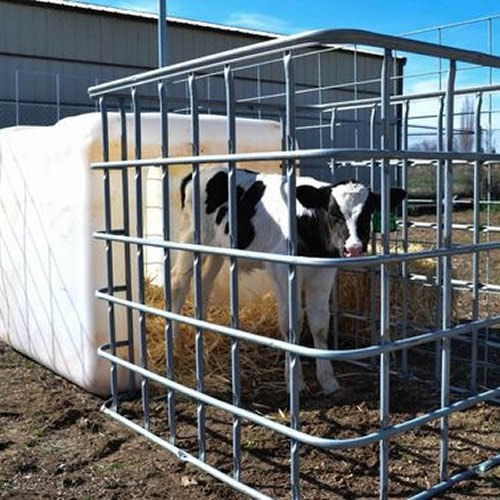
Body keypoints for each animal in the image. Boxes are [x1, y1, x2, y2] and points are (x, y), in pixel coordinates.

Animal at [172, 166, 406, 392]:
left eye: (368, 213)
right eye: (334, 213)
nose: (354, 248)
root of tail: (203, 171)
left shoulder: (323, 273)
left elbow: (320, 324)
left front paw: (327, 380)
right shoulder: (283, 270)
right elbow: (291, 322)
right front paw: (294, 380)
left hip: (217, 249)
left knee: (204, 283)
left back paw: (201, 328)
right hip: (192, 237)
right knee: (178, 282)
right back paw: (176, 344)